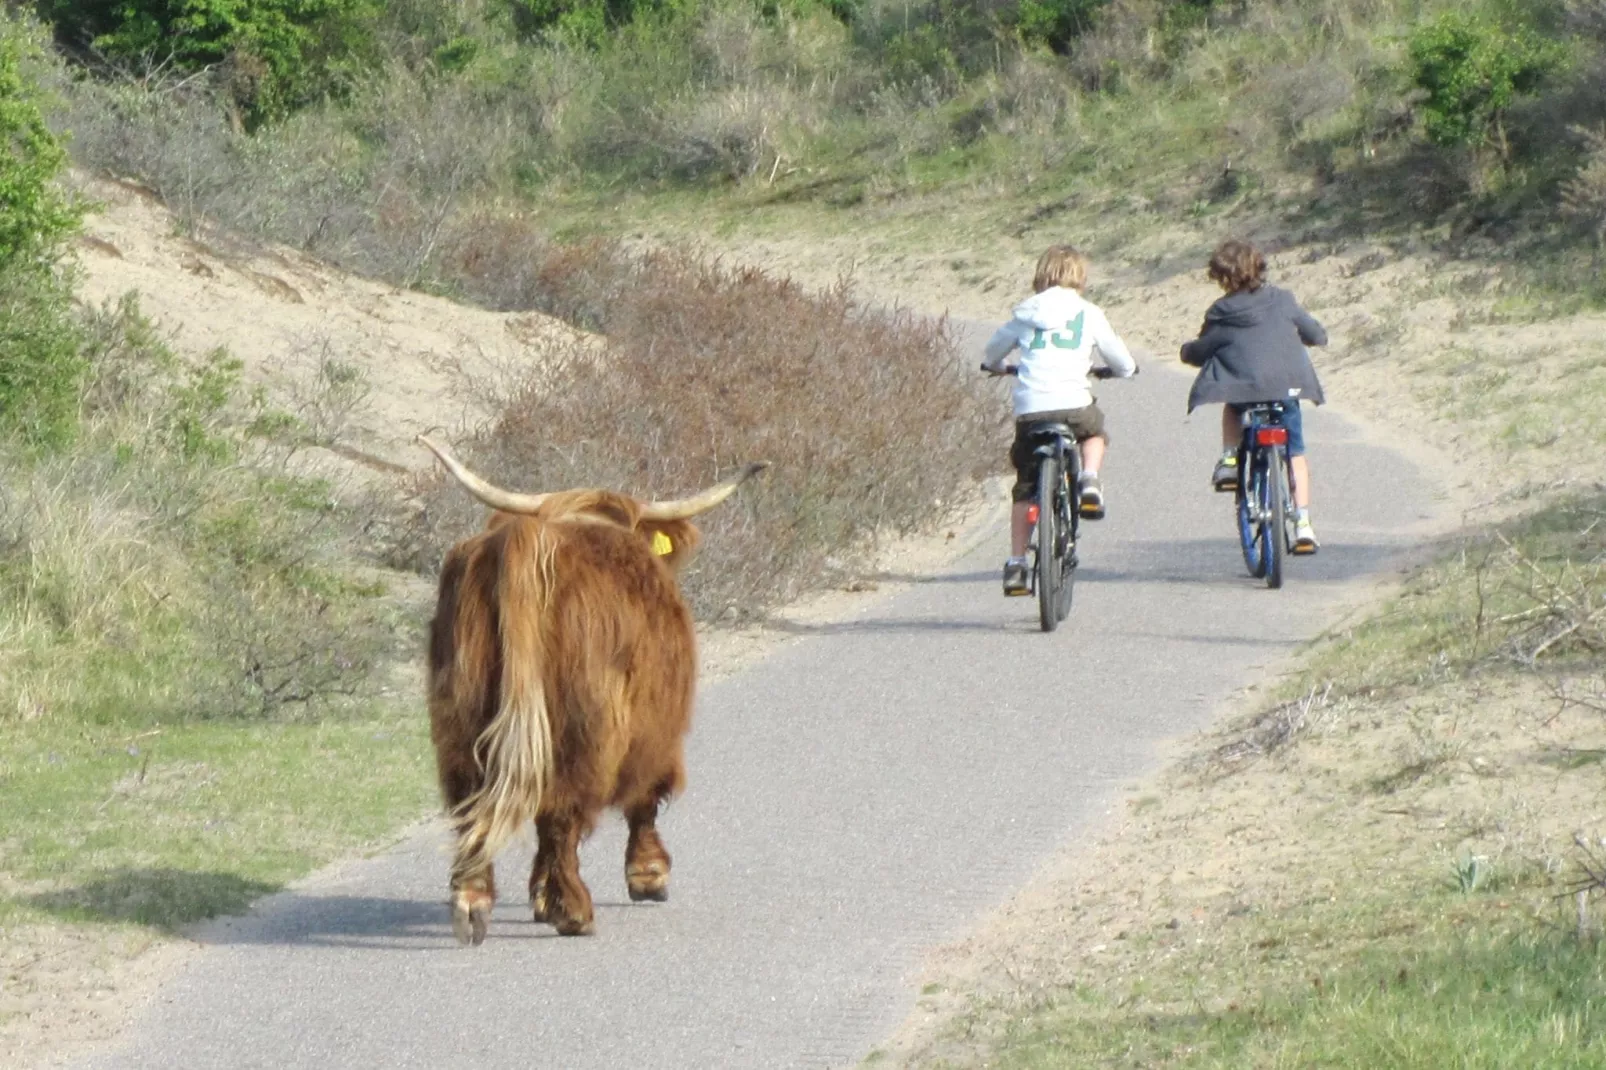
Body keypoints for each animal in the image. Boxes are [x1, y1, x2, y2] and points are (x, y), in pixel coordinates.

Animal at [414, 436, 764, 944]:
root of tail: (529, 539)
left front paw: (541, 896)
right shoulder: (656, 723)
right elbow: (647, 796)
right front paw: (648, 875)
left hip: (459, 712)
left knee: (472, 801)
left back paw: (473, 904)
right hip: (582, 726)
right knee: (560, 810)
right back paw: (575, 911)